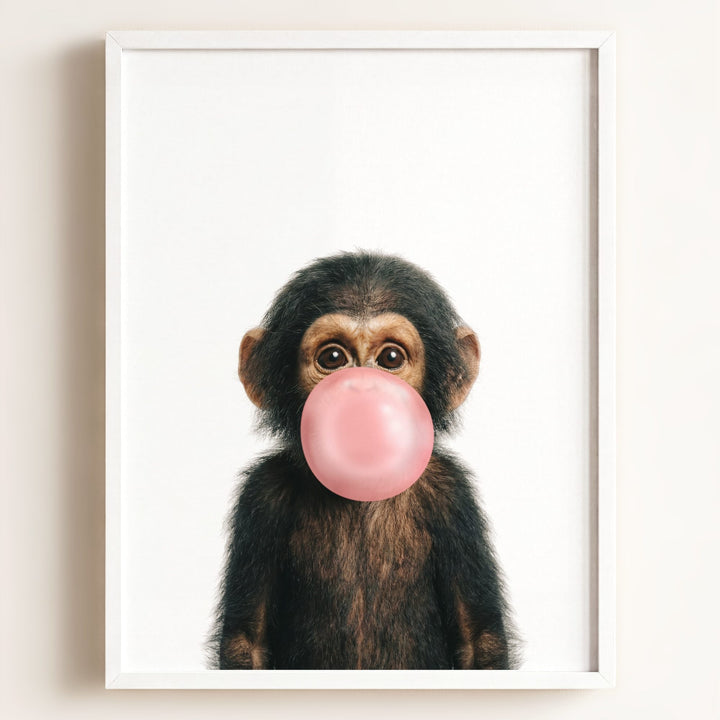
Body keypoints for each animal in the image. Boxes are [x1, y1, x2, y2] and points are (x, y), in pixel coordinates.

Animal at [210, 251, 519, 670]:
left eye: (390, 357)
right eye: (332, 357)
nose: (362, 389)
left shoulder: (452, 494)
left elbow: (479, 639)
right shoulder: (261, 495)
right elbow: (246, 641)